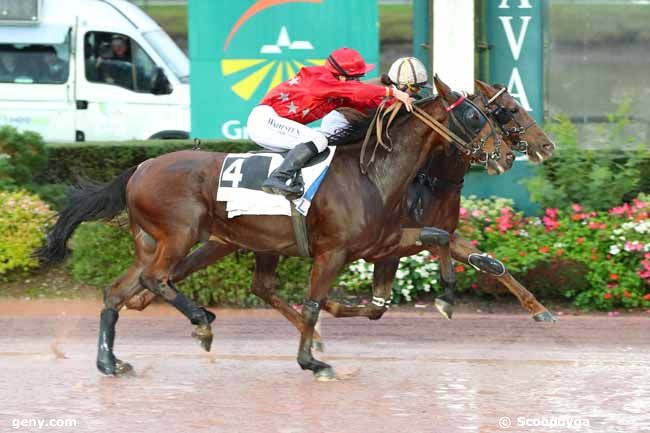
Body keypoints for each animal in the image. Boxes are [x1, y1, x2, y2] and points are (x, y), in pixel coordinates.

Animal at [39, 76, 506, 376]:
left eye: (493, 114)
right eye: (473, 117)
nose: (501, 155)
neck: (371, 172)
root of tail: (139, 167)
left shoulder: (380, 241)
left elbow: (438, 236)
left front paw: (450, 292)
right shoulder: (334, 251)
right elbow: (315, 303)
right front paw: (311, 360)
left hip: (161, 242)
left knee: (118, 292)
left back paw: (110, 361)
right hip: (180, 234)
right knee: (158, 279)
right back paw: (201, 319)